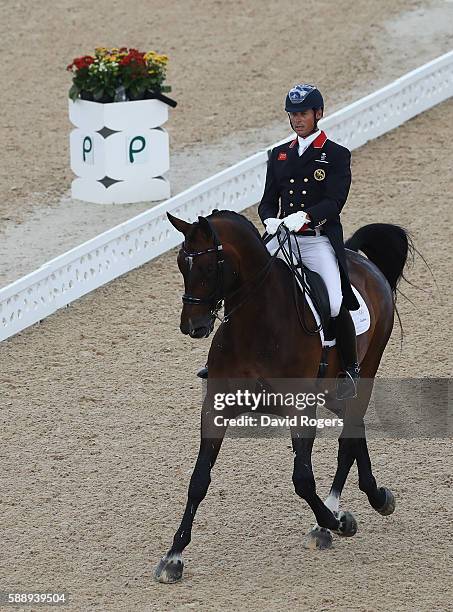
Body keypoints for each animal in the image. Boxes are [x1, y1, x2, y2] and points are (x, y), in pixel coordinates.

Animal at [155, 210, 410, 584]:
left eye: (208, 267)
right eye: (180, 265)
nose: (193, 326)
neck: (257, 325)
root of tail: (357, 258)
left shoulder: (300, 410)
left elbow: (302, 479)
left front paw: (337, 523)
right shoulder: (215, 409)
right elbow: (198, 480)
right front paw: (173, 557)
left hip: (366, 368)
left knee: (349, 435)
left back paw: (344, 512)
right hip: (331, 391)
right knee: (355, 427)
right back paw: (370, 497)